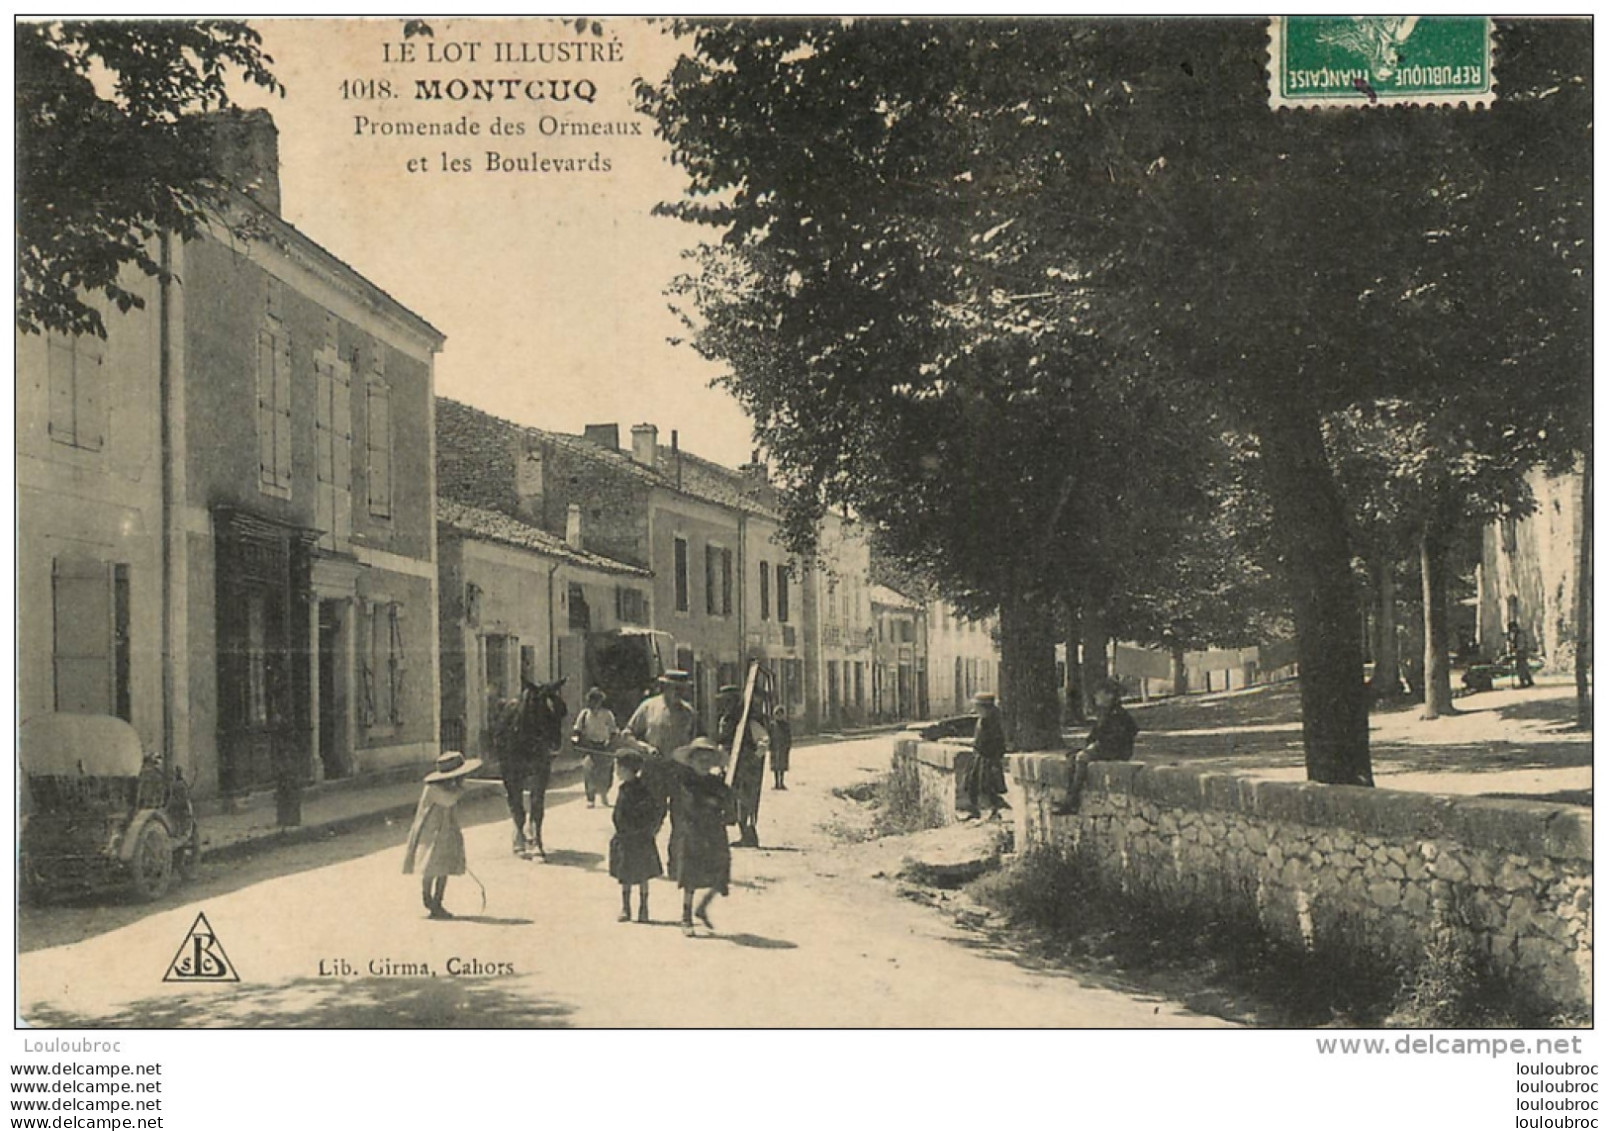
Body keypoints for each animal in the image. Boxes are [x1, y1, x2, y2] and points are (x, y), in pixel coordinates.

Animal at [495, 682, 572, 855]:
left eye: (562, 710)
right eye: (539, 711)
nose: (555, 745)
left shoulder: (542, 771)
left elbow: (537, 808)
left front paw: (537, 845)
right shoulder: (512, 773)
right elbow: (517, 806)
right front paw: (519, 845)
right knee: (512, 802)